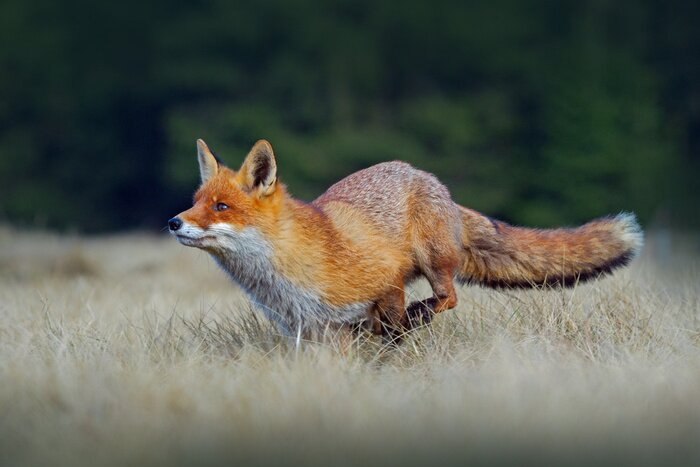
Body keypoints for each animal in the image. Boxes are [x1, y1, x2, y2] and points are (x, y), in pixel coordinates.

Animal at [169, 139, 643, 343]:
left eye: (221, 207)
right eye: (196, 203)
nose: (173, 222)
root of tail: (428, 178)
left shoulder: (387, 278)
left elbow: (392, 327)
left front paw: (399, 345)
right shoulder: (309, 332)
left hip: (432, 261)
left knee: (447, 298)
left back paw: (421, 315)